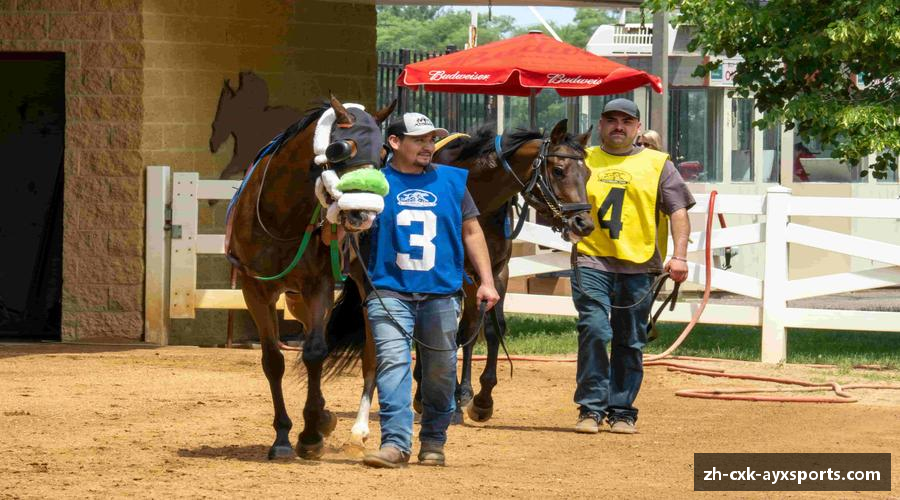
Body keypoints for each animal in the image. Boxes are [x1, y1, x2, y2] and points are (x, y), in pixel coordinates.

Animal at [224, 95, 390, 458]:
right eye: (340, 148)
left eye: (383, 153)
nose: (363, 213)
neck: (280, 216)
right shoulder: (254, 290)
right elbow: (273, 360)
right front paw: (283, 437)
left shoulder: (319, 286)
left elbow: (315, 351)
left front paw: (311, 433)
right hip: (294, 297)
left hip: (368, 287)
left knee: (371, 356)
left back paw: (358, 431)